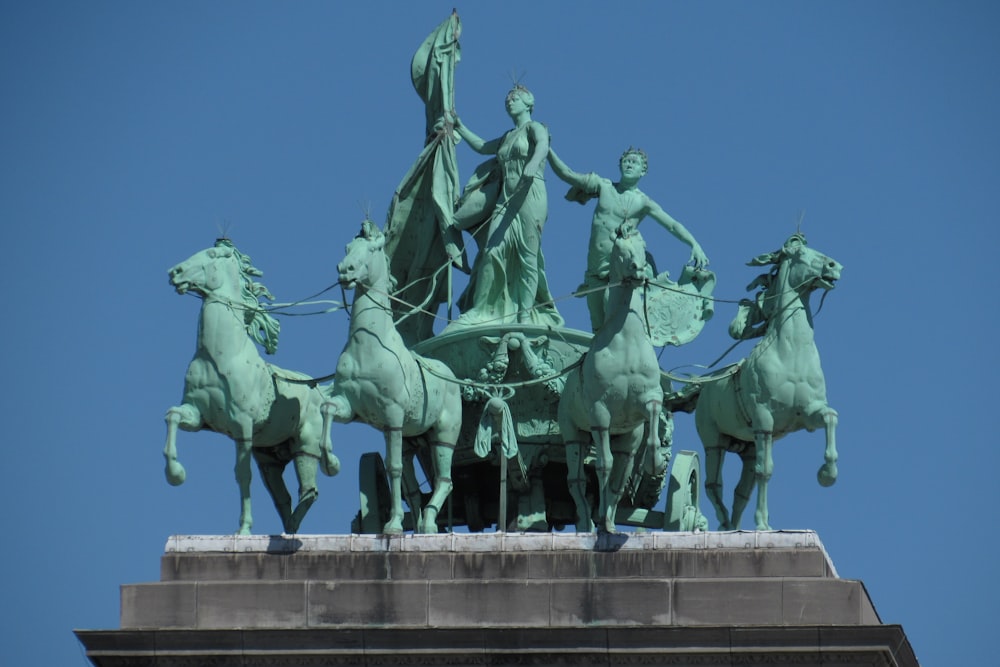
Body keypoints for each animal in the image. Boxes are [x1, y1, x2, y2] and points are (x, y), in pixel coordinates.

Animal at [161, 240, 340, 536]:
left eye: (211, 254)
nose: (174, 272)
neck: (219, 355)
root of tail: (317, 389)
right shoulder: (197, 415)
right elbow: (172, 416)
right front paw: (175, 474)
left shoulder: (241, 426)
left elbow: (242, 475)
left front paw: (244, 529)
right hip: (269, 458)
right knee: (283, 497)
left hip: (306, 441)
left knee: (309, 490)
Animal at [322, 222, 462, 536]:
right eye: (348, 247)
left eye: (373, 249)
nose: (345, 270)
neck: (369, 345)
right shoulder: (351, 408)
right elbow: (327, 408)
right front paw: (330, 463)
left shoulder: (393, 417)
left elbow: (393, 467)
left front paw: (394, 525)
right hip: (414, 439)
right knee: (415, 489)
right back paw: (421, 523)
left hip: (443, 436)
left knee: (445, 481)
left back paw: (430, 523)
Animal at [556, 227, 664, 536]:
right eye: (619, 249)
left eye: (642, 245)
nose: (638, 270)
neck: (625, 341)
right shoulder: (599, 413)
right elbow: (603, 465)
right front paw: (599, 519)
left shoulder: (649, 399)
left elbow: (653, 413)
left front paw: (655, 461)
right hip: (573, 435)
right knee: (577, 480)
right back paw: (588, 523)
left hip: (627, 440)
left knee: (619, 476)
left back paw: (608, 520)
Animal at [696, 235, 844, 532]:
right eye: (800, 253)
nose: (835, 266)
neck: (791, 352)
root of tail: (704, 385)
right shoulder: (764, 420)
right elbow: (765, 473)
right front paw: (763, 525)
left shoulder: (808, 414)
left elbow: (831, 417)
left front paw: (827, 474)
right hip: (713, 441)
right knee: (713, 485)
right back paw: (724, 523)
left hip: (748, 447)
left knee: (740, 491)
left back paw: (734, 527)